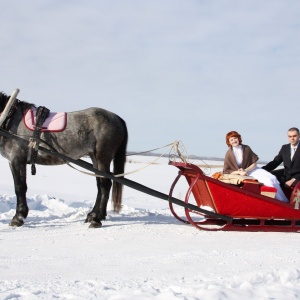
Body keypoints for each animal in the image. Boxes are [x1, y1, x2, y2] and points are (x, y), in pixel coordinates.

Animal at [0, 91, 127, 227]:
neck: (11, 117)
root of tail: (117, 118)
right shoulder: (12, 161)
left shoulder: (17, 159)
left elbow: (20, 187)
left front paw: (18, 217)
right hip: (95, 159)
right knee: (100, 185)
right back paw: (93, 215)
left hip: (103, 157)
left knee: (105, 185)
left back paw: (97, 219)